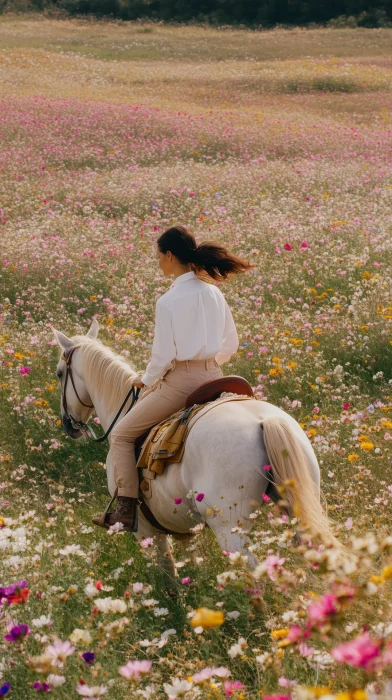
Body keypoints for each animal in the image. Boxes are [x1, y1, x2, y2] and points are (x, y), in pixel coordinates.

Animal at [51, 322, 334, 580]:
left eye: (59, 373)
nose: (69, 425)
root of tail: (264, 421)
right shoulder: (184, 529)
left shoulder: (147, 532)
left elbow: (169, 578)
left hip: (230, 529)